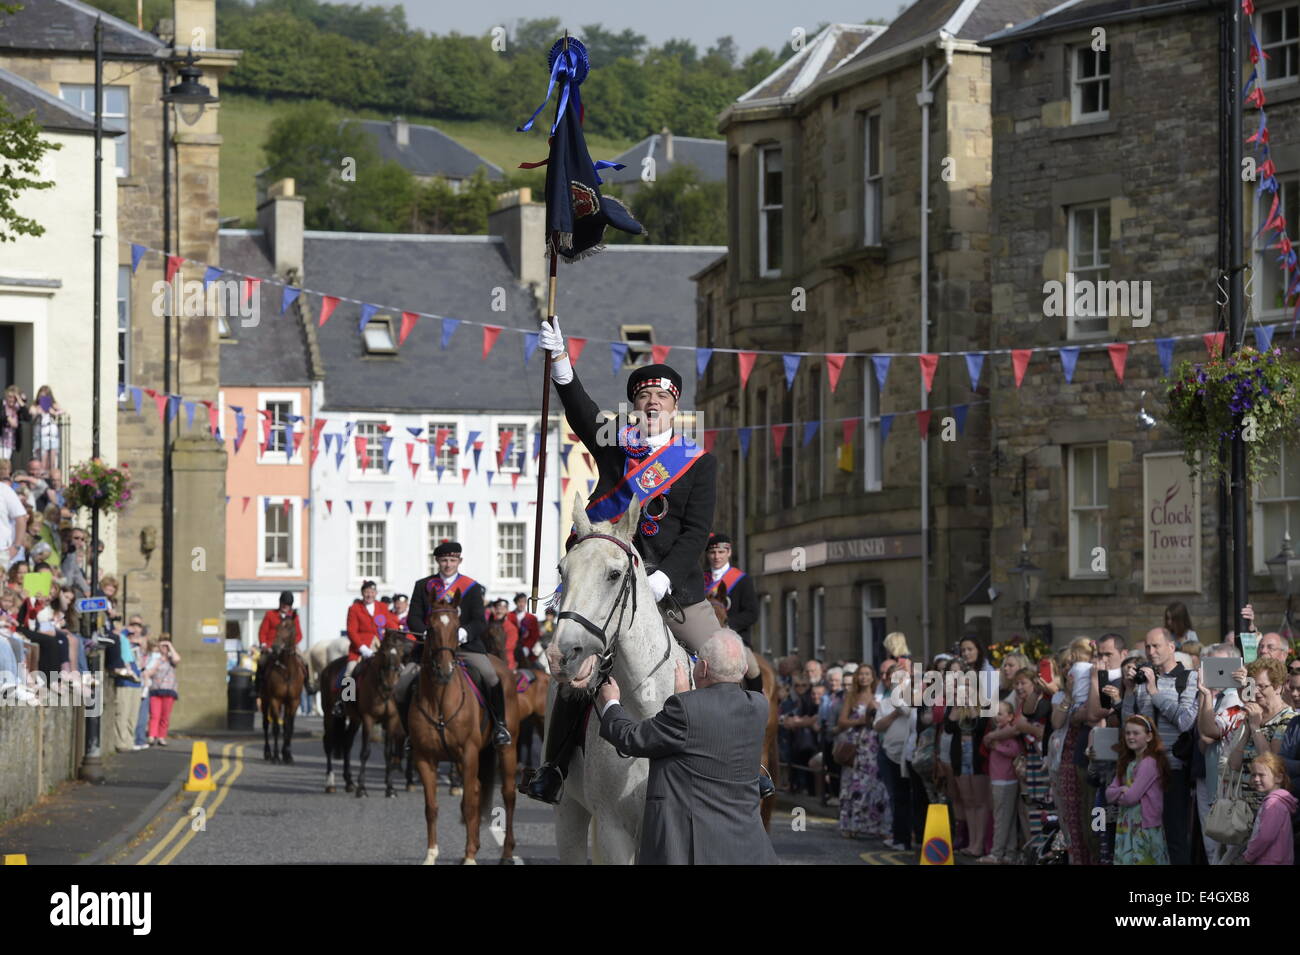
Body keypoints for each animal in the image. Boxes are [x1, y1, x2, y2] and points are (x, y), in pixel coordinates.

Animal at [260, 615, 308, 764]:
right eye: (277, 627)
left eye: (290, 627)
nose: (275, 647)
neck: (287, 671)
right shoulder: (275, 700)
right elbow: (276, 728)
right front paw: (276, 756)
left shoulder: (293, 701)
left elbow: (289, 727)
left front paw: (287, 754)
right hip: (265, 700)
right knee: (266, 724)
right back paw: (268, 753)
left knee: (285, 725)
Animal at [410, 595, 522, 862]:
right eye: (430, 628)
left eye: (456, 627)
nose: (444, 669)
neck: (439, 699)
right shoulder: (424, 758)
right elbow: (432, 807)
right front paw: (431, 854)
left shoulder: (468, 753)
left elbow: (470, 804)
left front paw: (470, 856)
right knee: (478, 790)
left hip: (507, 749)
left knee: (508, 794)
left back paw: (506, 851)